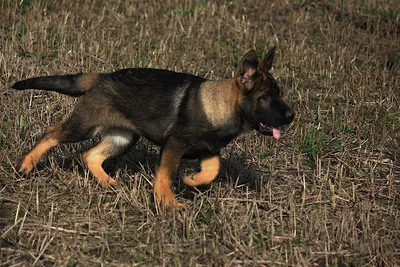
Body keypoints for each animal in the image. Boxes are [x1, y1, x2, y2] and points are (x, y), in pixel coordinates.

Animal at [12, 47, 294, 207]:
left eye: (279, 93)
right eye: (266, 97)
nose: (291, 116)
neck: (222, 105)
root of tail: (102, 77)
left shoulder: (208, 149)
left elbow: (213, 170)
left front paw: (192, 180)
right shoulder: (174, 144)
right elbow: (165, 175)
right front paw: (168, 203)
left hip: (123, 137)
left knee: (90, 155)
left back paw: (109, 183)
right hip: (85, 125)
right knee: (53, 133)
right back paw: (26, 165)